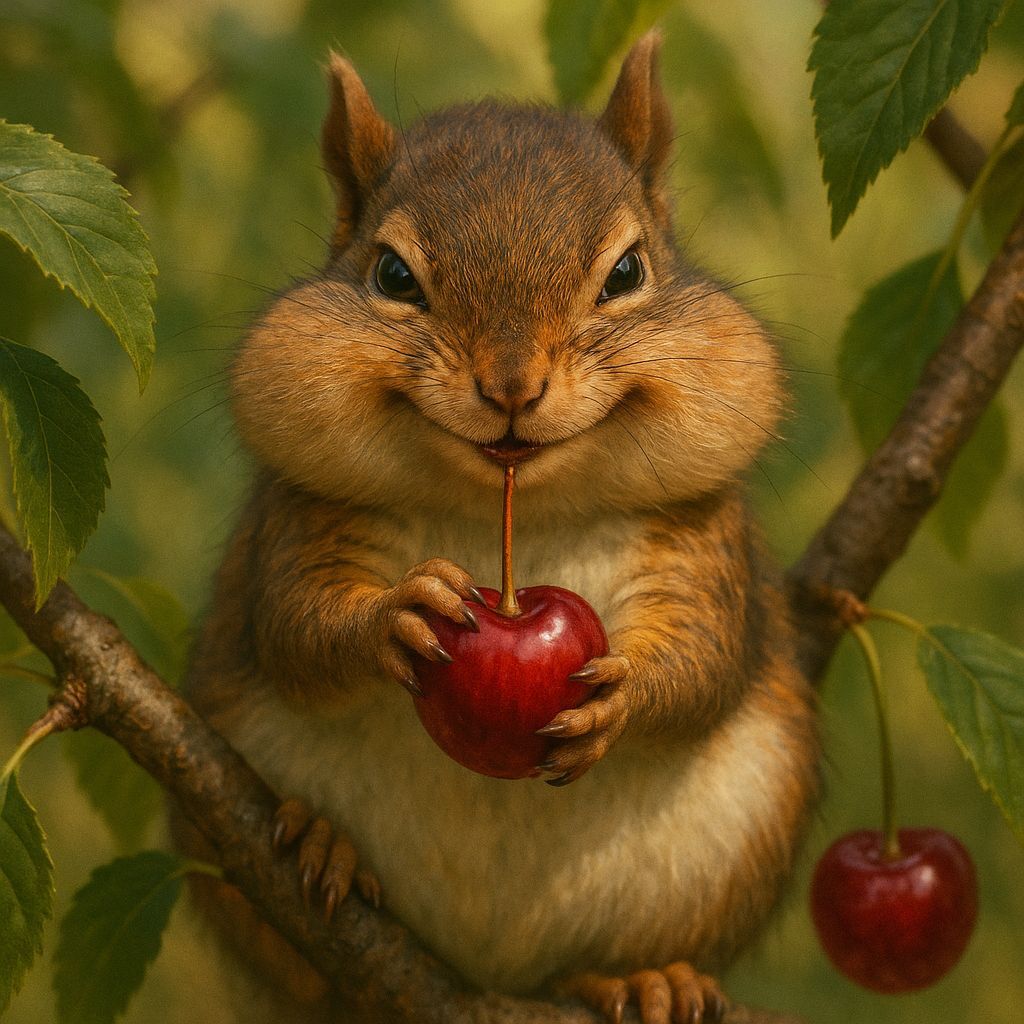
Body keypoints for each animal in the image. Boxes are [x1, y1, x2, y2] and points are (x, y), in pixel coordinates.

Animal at [174, 32, 820, 1024]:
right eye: (392, 276)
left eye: (628, 272)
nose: (512, 385)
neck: (512, 512)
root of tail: (484, 977)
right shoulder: (301, 520)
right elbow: (295, 624)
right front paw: (393, 614)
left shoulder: (702, 543)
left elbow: (704, 658)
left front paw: (624, 694)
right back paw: (323, 843)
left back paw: (644, 978)